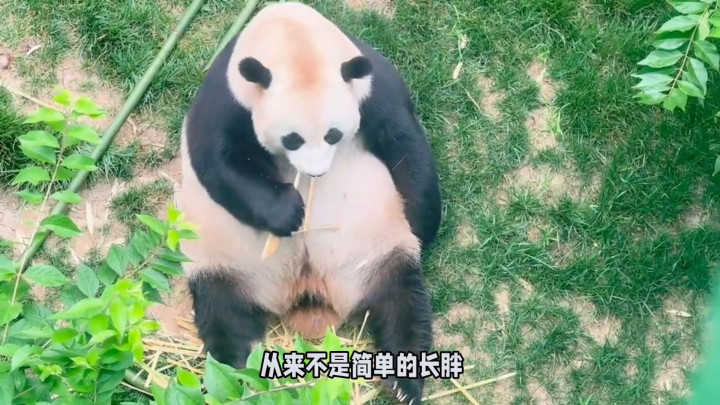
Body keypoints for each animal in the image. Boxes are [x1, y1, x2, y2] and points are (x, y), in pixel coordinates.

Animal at [178, 2, 442, 404]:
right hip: (223, 262)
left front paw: (423, 222)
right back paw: (234, 374)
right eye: (292, 139)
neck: (292, 40)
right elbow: (219, 161)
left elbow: (404, 141)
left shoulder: (372, 86)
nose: (316, 172)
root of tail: (306, 291)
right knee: (222, 311)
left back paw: (404, 380)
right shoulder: (226, 97)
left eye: (333, 134)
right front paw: (288, 213)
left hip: (378, 252)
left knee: (402, 300)